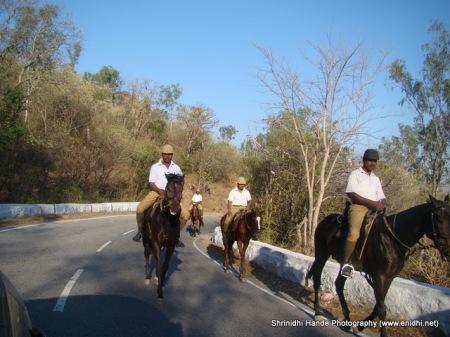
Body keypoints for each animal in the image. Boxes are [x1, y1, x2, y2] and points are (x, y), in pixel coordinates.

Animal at [306, 194, 450, 336]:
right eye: (438, 218)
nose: (447, 250)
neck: (392, 238)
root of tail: (326, 221)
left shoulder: (388, 278)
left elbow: (378, 306)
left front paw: (360, 327)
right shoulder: (378, 276)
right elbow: (381, 308)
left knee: (339, 284)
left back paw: (348, 320)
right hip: (321, 254)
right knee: (317, 279)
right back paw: (317, 312)